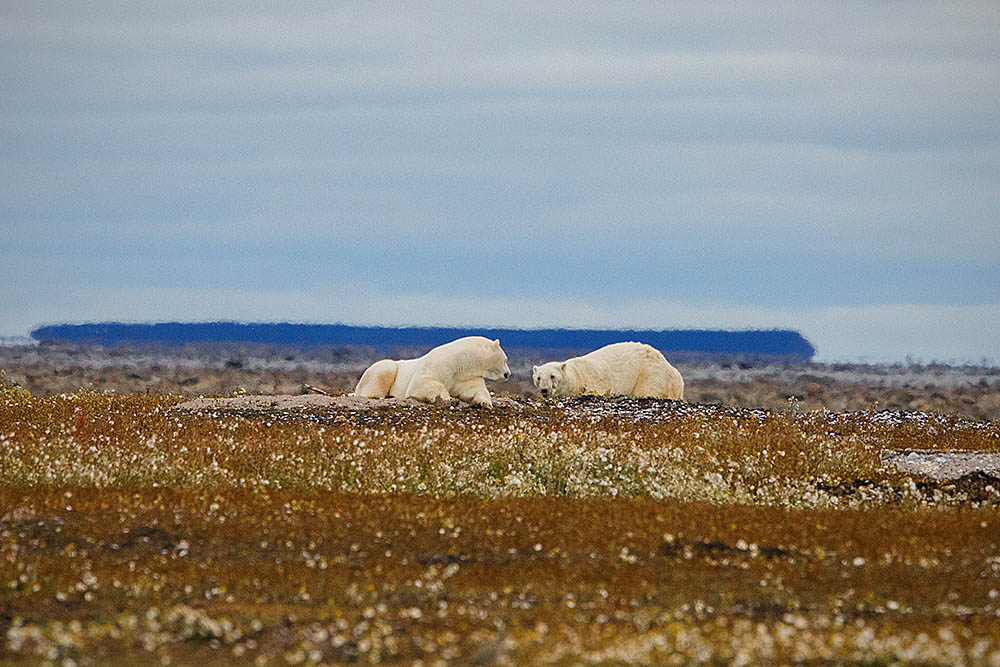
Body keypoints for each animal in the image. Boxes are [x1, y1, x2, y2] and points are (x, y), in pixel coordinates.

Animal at [354, 334, 508, 408]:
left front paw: (484, 403)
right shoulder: (439, 364)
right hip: (383, 369)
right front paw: (448, 399)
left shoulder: (467, 376)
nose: (508, 374)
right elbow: (423, 383)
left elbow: (474, 390)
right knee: (385, 369)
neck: (461, 362)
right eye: (506, 359)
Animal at [532, 342, 688, 400]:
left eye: (552, 376)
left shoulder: (591, 382)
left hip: (650, 374)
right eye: (538, 377)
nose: (544, 390)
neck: (576, 374)